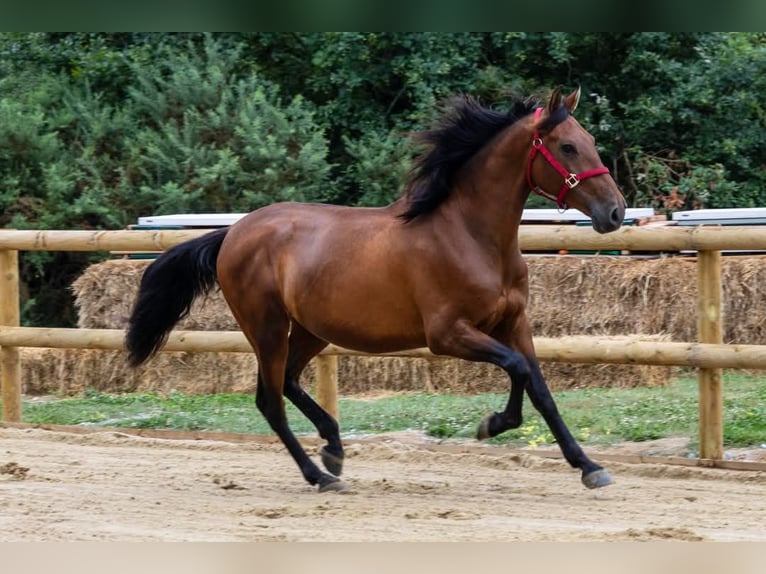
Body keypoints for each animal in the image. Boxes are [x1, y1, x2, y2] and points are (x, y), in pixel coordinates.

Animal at [126, 86, 626, 493]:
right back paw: (320, 475)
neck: (469, 234)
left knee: (287, 383)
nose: (616, 212)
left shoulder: (513, 323)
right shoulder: (447, 334)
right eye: (567, 146)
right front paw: (493, 424)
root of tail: (232, 233)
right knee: (270, 400)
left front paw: (589, 466)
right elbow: (518, 369)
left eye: (590, 141)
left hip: (311, 330)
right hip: (265, 327)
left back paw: (333, 446)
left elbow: (539, 388)